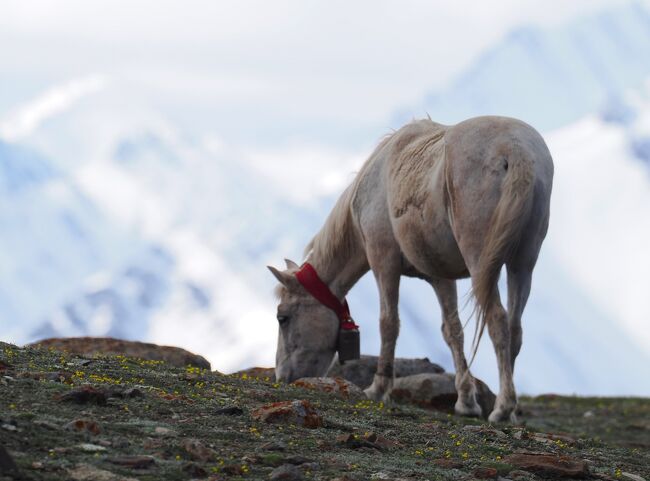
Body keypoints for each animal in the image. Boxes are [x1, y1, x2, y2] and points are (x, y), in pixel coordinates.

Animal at [266, 115, 548, 420]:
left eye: (282, 318)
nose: (282, 377)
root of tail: (515, 149)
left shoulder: (383, 259)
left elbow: (389, 323)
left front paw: (378, 389)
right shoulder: (440, 274)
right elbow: (453, 331)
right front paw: (466, 402)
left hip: (481, 264)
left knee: (497, 320)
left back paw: (502, 408)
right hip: (523, 263)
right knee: (515, 328)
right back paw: (509, 409)